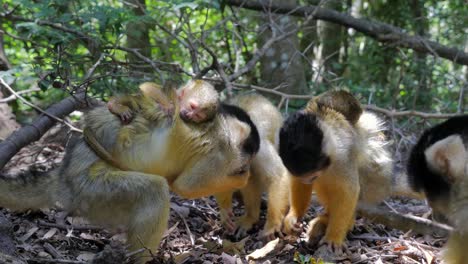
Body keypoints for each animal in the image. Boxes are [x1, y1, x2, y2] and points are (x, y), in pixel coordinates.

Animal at [0, 80, 260, 262]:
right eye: (243, 165)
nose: (244, 169)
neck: (224, 131)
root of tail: (64, 176)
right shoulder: (218, 153)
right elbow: (185, 186)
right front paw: (240, 181)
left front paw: (226, 209)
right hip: (91, 190)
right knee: (154, 190)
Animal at [278, 90, 394, 254]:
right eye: (307, 177)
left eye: (312, 175)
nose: (309, 179)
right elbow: (298, 182)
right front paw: (294, 216)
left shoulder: (342, 157)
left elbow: (348, 191)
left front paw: (334, 236)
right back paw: (325, 218)